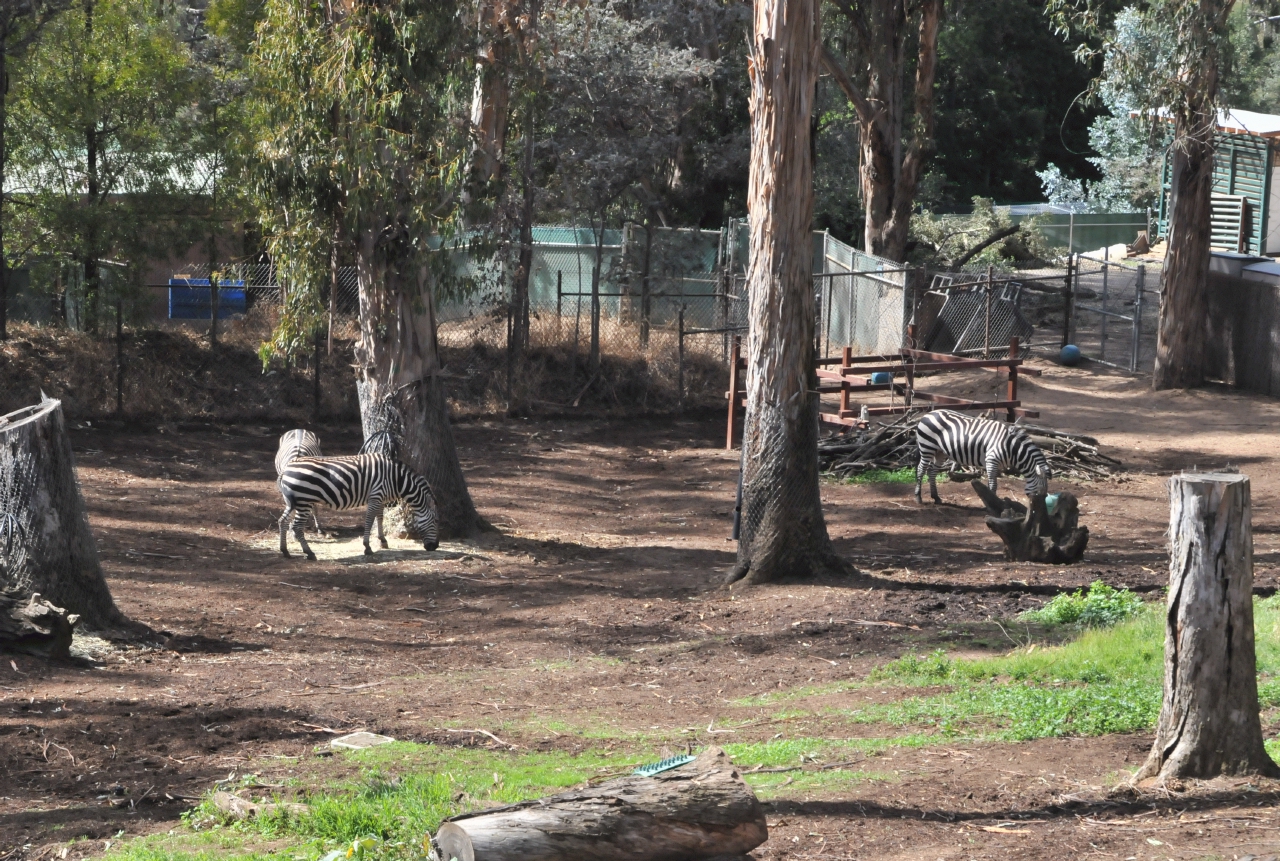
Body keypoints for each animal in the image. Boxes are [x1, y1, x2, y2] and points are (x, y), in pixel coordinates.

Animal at [279, 452, 440, 560]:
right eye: (435, 521)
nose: (435, 546)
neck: (396, 479)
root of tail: (286, 468)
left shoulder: (379, 497)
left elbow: (380, 517)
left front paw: (383, 541)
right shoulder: (375, 495)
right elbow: (369, 520)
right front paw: (367, 547)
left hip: (292, 502)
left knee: (283, 522)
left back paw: (285, 551)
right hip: (304, 502)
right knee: (297, 526)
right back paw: (310, 553)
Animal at [921, 409, 1049, 504]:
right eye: (1040, 492)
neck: (1010, 447)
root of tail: (928, 413)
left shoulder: (994, 464)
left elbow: (990, 483)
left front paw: (989, 499)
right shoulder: (991, 460)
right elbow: (993, 484)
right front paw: (993, 502)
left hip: (940, 451)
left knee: (932, 471)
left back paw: (936, 498)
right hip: (927, 447)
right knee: (921, 469)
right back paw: (919, 498)